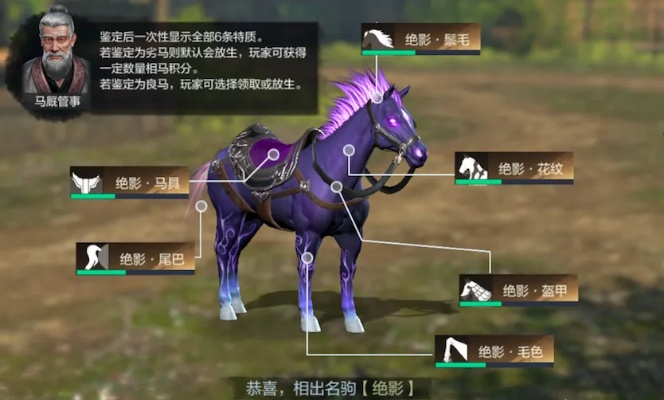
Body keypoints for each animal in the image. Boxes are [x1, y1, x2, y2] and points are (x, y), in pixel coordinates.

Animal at [186, 68, 428, 333]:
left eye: (412, 121)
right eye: (392, 120)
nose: (420, 154)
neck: (334, 176)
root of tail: (219, 156)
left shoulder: (351, 238)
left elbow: (347, 273)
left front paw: (352, 320)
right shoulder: (308, 235)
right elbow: (306, 272)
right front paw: (308, 319)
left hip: (252, 219)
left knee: (234, 251)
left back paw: (238, 303)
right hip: (229, 216)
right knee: (222, 248)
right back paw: (226, 307)